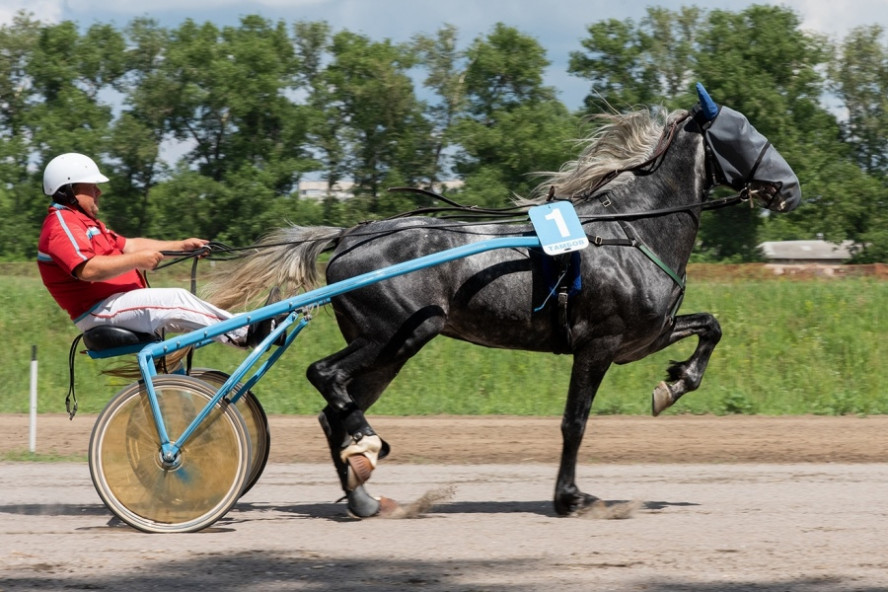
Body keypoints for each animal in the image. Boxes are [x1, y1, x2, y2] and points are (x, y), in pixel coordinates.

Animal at [210, 84, 804, 520]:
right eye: (742, 133)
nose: (791, 188)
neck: (628, 232)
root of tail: (351, 235)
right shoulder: (599, 345)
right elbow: (574, 422)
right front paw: (571, 498)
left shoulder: (646, 336)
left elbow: (711, 326)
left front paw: (676, 383)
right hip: (393, 332)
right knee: (325, 377)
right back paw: (369, 446)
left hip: (394, 346)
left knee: (335, 410)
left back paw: (362, 489)